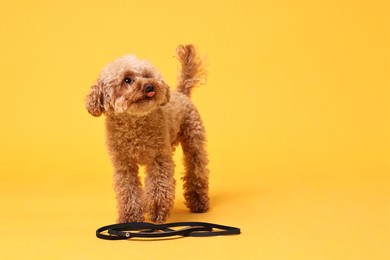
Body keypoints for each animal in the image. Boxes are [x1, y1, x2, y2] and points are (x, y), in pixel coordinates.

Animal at [85, 44, 210, 223]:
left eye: (147, 76)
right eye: (127, 80)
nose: (150, 86)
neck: (134, 124)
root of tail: (181, 93)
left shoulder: (158, 158)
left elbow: (158, 186)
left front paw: (157, 211)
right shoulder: (123, 163)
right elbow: (128, 190)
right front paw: (130, 216)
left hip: (193, 140)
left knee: (196, 169)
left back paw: (199, 202)